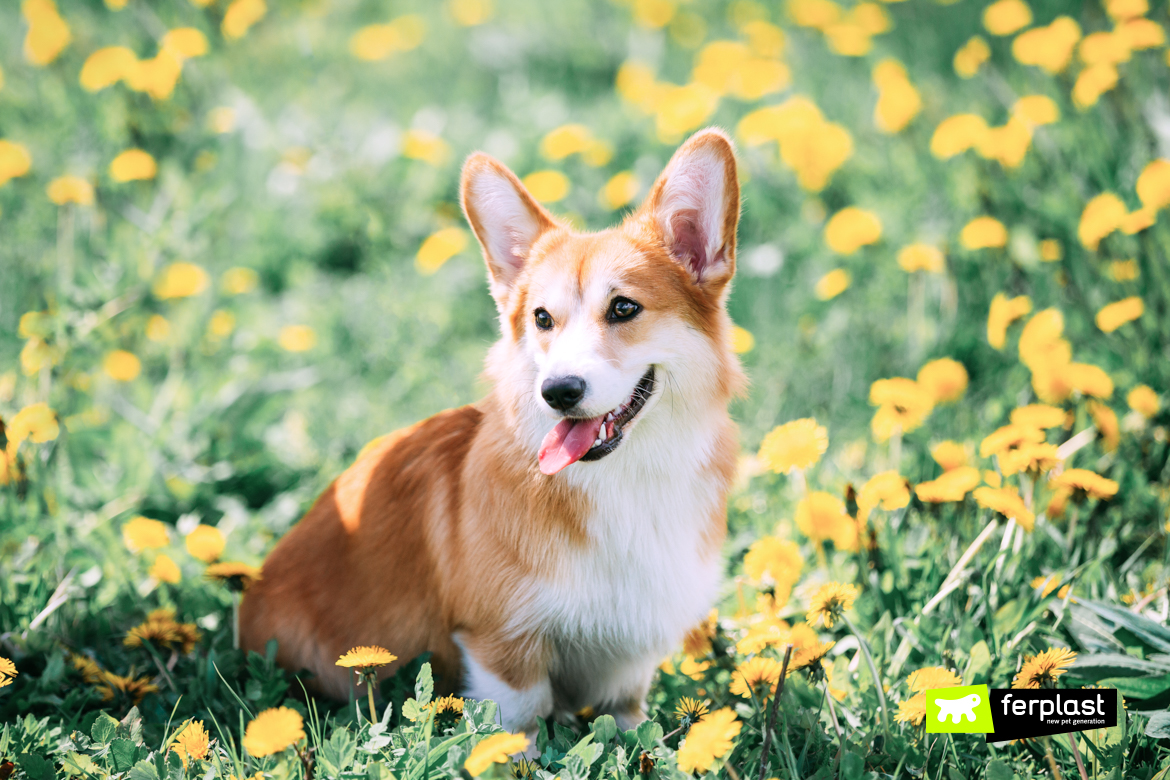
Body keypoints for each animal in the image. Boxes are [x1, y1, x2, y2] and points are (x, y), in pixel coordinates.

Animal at [241, 126, 744, 734]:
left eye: (624, 308)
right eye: (542, 319)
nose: (558, 392)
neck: (626, 480)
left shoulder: (630, 660)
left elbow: (628, 725)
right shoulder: (500, 643)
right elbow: (516, 727)